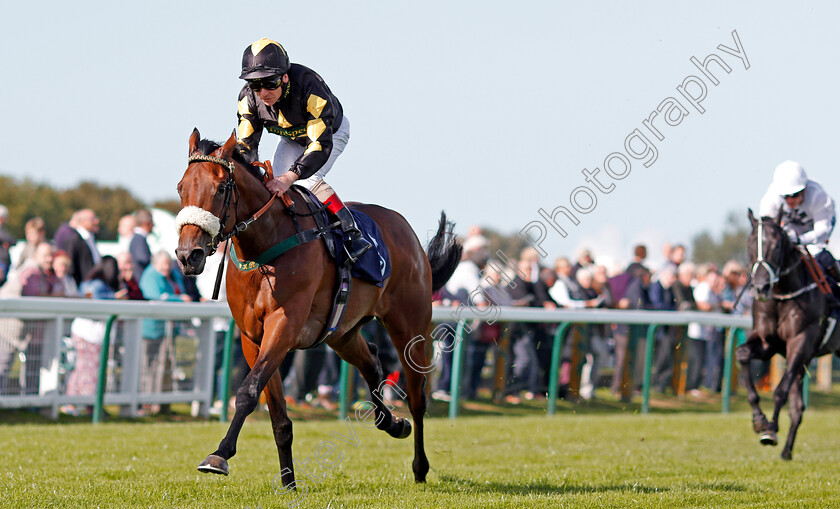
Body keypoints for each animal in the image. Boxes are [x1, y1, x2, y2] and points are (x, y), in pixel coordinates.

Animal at [176, 129, 460, 486]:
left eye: (221, 188)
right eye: (181, 187)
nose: (188, 255)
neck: (266, 246)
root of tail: (406, 231)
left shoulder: (284, 326)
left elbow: (248, 391)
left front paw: (220, 455)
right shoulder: (253, 337)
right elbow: (278, 416)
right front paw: (288, 482)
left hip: (410, 325)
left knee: (418, 396)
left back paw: (420, 466)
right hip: (341, 333)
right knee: (371, 361)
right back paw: (392, 423)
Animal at [736, 208, 840, 458]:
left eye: (776, 245)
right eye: (750, 244)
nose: (760, 287)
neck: (783, 293)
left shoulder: (800, 342)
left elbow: (780, 390)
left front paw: (770, 430)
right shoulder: (768, 343)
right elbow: (742, 355)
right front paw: (759, 420)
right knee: (798, 408)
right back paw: (786, 452)